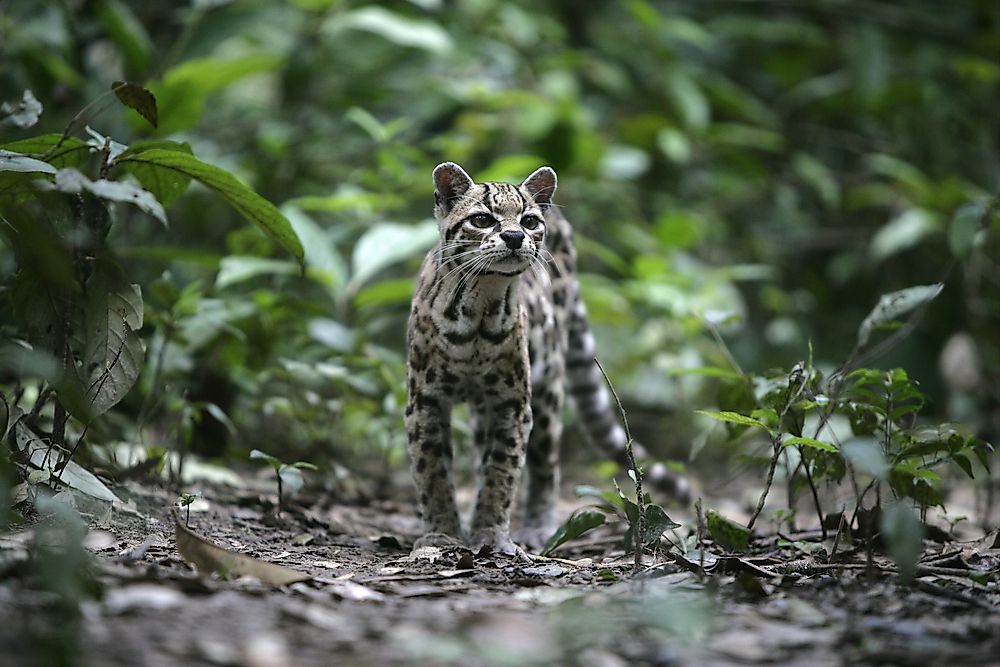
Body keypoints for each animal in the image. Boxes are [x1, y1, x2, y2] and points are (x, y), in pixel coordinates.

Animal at [406, 162, 688, 552]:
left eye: (528, 221)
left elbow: (503, 470)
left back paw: (537, 528)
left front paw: (491, 534)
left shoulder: (513, 402)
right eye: (482, 219)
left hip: (548, 386)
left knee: (544, 465)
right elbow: (432, 470)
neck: (479, 305)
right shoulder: (426, 400)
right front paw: (442, 534)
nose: (513, 237)